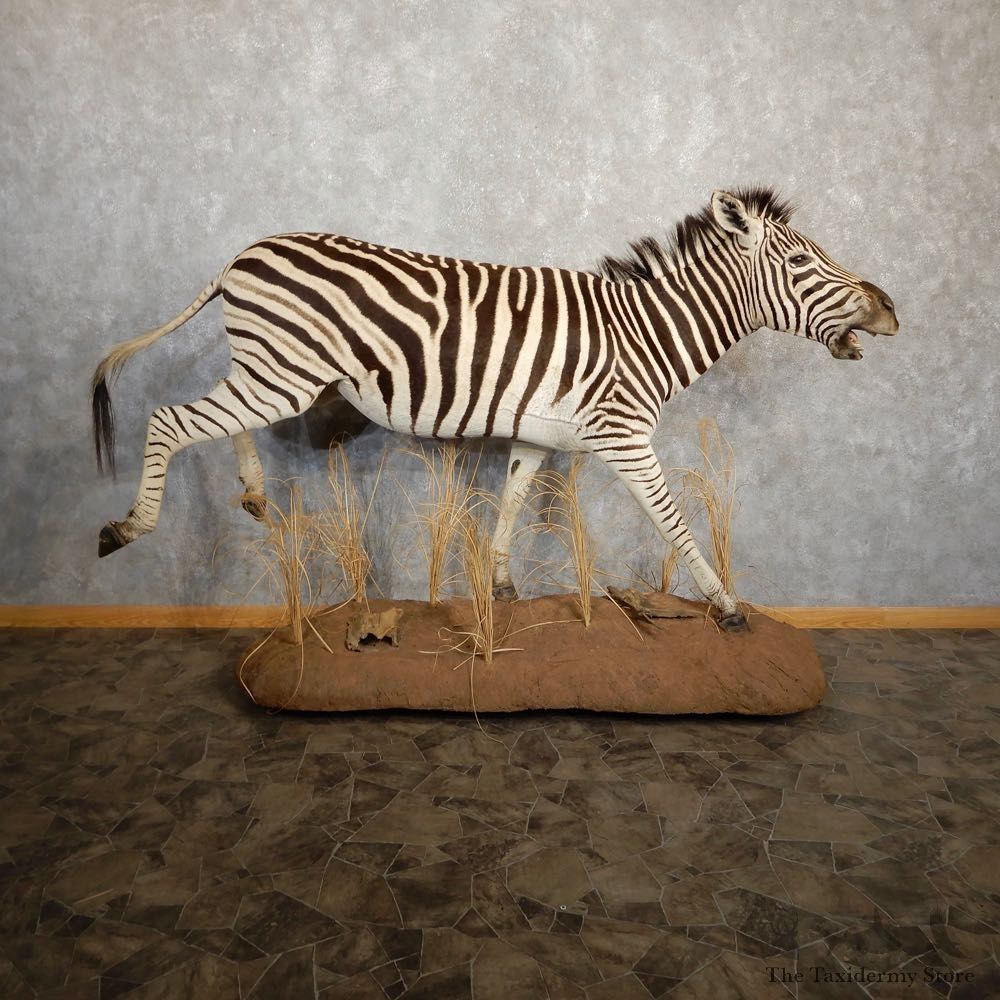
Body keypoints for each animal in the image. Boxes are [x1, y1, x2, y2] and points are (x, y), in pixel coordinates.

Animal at [92, 187, 898, 631]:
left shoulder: (538, 434)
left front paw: (504, 587)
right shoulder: (624, 434)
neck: (642, 332)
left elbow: (510, 503)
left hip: (275, 370)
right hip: (282, 372)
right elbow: (672, 518)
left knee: (228, 421)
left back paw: (257, 494)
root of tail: (241, 255)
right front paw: (727, 605)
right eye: (802, 263)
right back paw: (128, 527)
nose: (891, 310)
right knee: (171, 420)